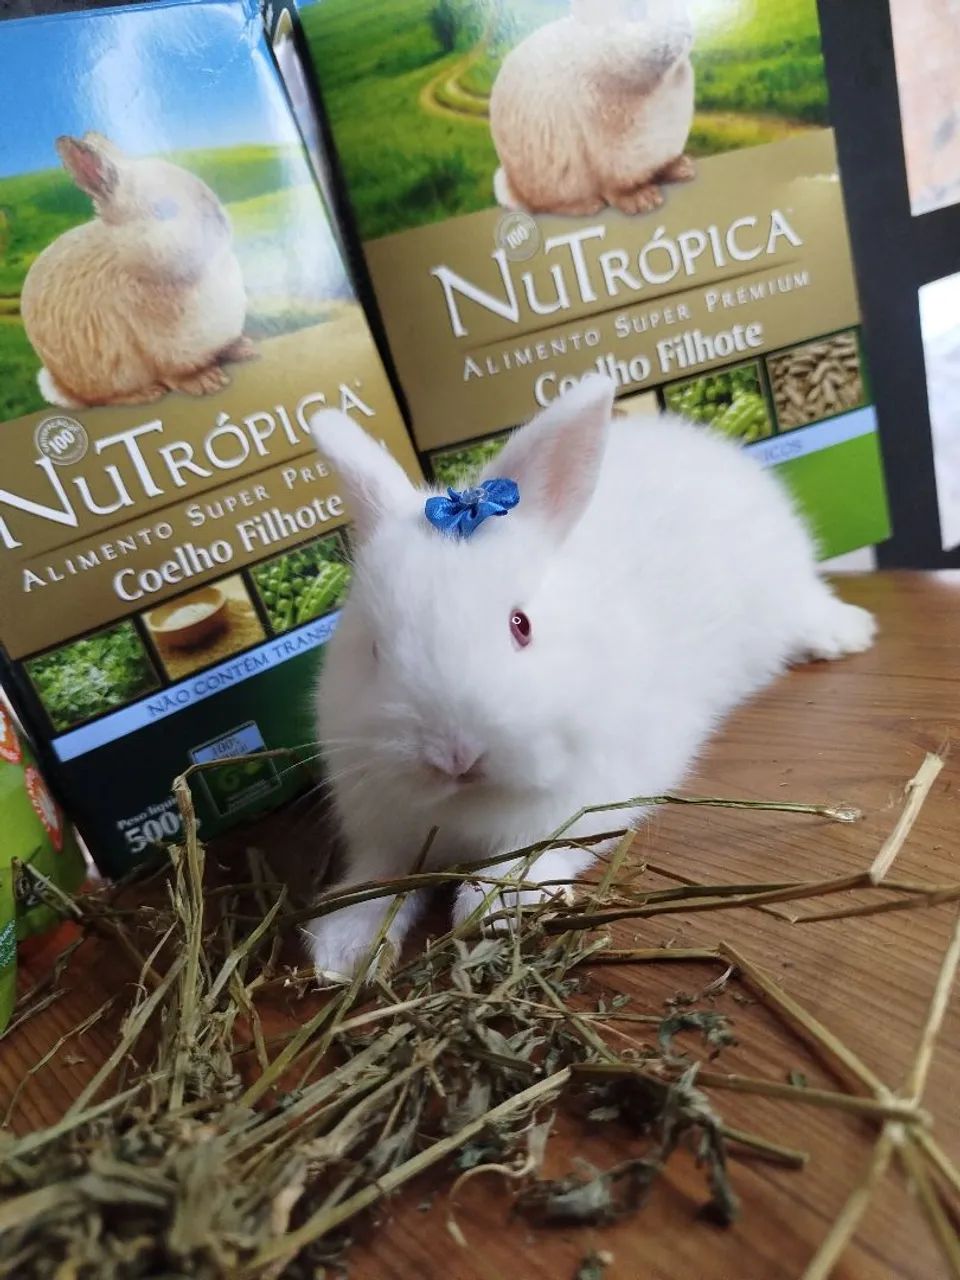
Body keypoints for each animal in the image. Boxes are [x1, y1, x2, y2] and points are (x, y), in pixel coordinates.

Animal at [21, 133, 255, 410]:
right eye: (163, 210)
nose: (222, 224)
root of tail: (61, 386)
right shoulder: (158, 349)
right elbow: (174, 374)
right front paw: (206, 381)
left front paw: (244, 348)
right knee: (102, 398)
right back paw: (145, 394)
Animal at [304, 375, 876, 981]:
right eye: (373, 648)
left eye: (522, 625)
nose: (454, 755)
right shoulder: (385, 833)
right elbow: (378, 880)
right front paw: (342, 952)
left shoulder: (582, 800)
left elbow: (533, 852)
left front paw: (495, 906)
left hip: (786, 593)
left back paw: (847, 634)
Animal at [490, 0, 696, 217]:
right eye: (636, 11)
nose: (686, 28)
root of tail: (513, 188)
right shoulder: (611, 157)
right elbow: (615, 188)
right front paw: (643, 200)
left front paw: (683, 168)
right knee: (544, 205)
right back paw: (588, 206)